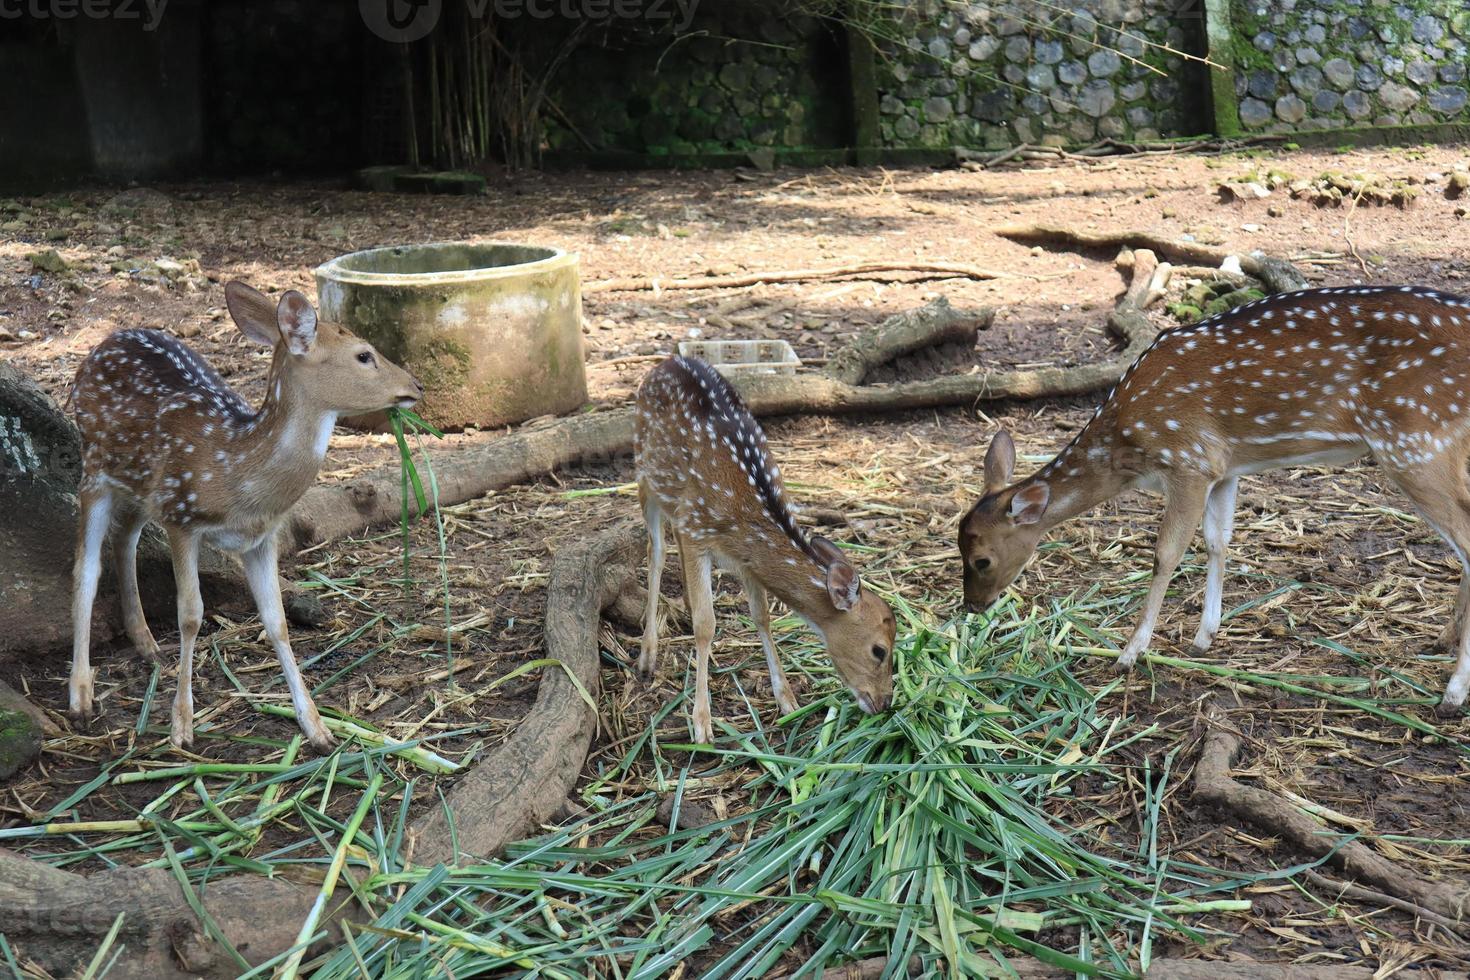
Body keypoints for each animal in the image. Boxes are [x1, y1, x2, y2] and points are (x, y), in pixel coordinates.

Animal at [70, 283, 423, 752]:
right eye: (364, 355)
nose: (417, 384)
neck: (239, 480)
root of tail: (105, 341)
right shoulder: (182, 515)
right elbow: (191, 615)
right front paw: (181, 727)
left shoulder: (262, 537)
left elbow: (277, 622)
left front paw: (317, 728)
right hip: (95, 468)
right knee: (86, 569)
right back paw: (80, 695)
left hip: (141, 487)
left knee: (124, 537)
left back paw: (145, 642)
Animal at [635, 354, 893, 743]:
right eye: (879, 650)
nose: (885, 703)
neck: (746, 513)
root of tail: (668, 360)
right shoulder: (696, 531)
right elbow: (706, 625)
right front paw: (702, 724)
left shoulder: (745, 559)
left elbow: (762, 615)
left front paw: (787, 700)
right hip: (643, 475)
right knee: (656, 553)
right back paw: (647, 655)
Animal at [958, 283, 1470, 714]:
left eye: (982, 559)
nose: (973, 606)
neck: (1128, 443)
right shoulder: (1224, 469)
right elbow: (1217, 541)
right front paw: (1204, 637)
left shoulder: (1188, 461)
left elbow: (1166, 554)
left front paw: (1129, 653)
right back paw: (1442, 641)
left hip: (1413, 441)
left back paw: (1452, 694)